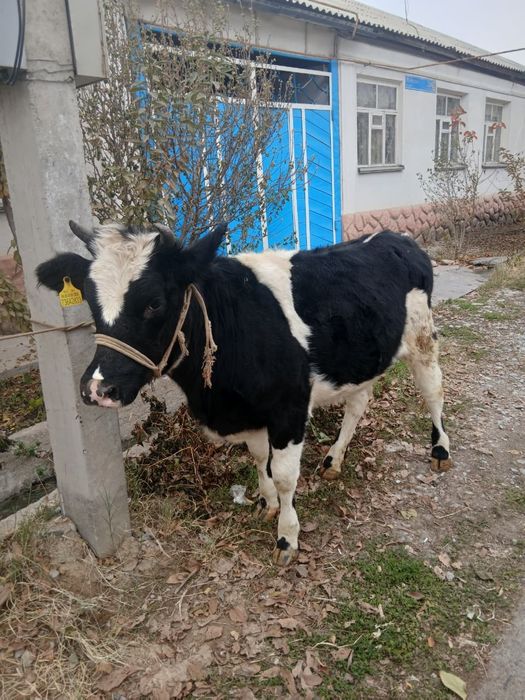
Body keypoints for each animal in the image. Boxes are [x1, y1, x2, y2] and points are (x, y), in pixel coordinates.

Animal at [36, 222, 451, 565]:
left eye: (154, 303)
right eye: (90, 301)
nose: (97, 388)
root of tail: (395, 237)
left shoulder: (289, 408)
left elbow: (284, 475)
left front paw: (287, 537)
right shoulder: (247, 411)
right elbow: (258, 457)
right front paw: (266, 502)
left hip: (422, 337)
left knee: (434, 392)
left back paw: (440, 450)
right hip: (362, 356)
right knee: (358, 402)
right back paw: (334, 459)